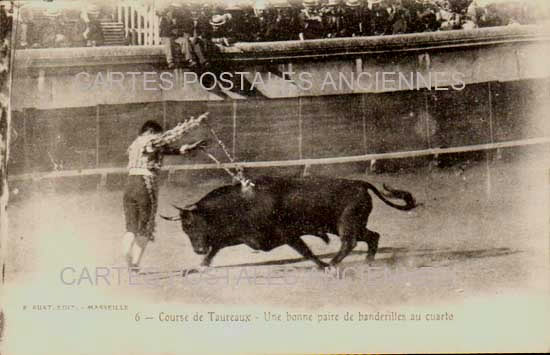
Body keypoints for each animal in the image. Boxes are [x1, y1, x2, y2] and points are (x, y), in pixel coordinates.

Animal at [161, 177, 418, 268]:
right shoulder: (241, 237)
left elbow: (305, 251)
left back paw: (333, 263)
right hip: (349, 225)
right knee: (372, 236)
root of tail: (359, 183)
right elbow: (216, 248)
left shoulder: (288, 235)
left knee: (350, 243)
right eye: (184, 228)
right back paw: (368, 261)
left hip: (346, 224)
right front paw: (199, 266)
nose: (197, 249)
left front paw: (321, 265)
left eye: (193, 224)